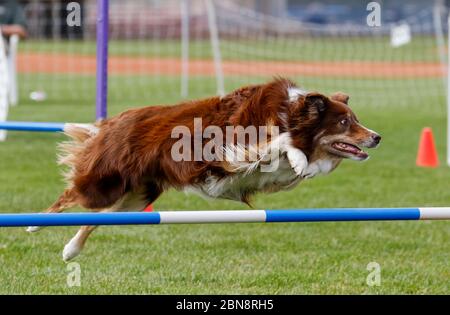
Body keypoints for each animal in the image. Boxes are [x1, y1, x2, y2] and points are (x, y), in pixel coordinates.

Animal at [26, 78, 382, 260]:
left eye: (356, 119)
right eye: (344, 123)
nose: (377, 137)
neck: (292, 114)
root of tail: (115, 120)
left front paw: (299, 161)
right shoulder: (230, 147)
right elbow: (278, 144)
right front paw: (296, 156)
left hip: (137, 196)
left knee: (95, 219)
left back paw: (70, 250)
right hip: (106, 183)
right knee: (70, 196)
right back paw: (34, 224)